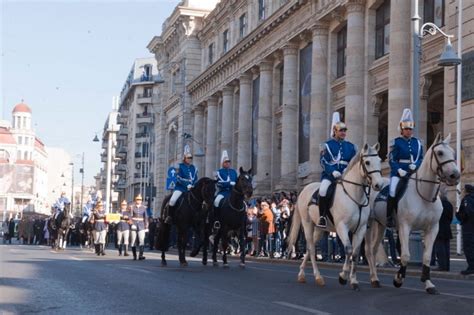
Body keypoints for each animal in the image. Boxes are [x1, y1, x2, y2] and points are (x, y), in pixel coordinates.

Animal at [286, 143, 386, 292]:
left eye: (380, 160)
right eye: (367, 162)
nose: (379, 185)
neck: (354, 196)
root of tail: (305, 189)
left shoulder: (361, 229)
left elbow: (355, 253)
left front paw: (354, 281)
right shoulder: (341, 227)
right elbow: (348, 250)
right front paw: (343, 276)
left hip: (320, 228)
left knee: (311, 247)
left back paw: (302, 274)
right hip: (307, 224)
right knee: (311, 248)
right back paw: (318, 277)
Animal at [364, 134, 462, 296]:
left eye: (454, 152)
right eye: (440, 152)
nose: (455, 175)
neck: (424, 195)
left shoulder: (433, 229)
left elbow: (427, 257)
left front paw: (428, 283)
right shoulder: (405, 227)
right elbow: (405, 255)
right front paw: (398, 278)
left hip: (381, 225)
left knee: (373, 249)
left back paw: (375, 278)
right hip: (368, 224)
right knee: (367, 250)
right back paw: (372, 278)